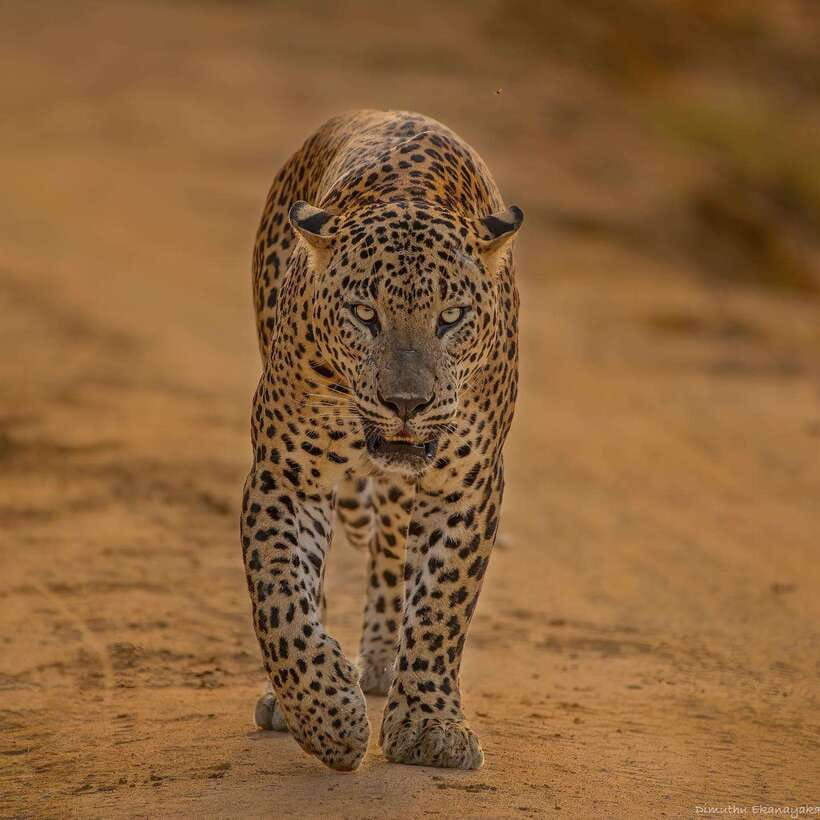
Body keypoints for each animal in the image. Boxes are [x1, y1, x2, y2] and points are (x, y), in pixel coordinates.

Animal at [242, 109, 523, 771]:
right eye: (365, 315)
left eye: (451, 317)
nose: (406, 404)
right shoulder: (285, 474)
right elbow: (280, 596)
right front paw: (326, 718)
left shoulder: (467, 484)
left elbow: (442, 603)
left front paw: (428, 725)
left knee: (392, 555)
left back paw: (379, 662)